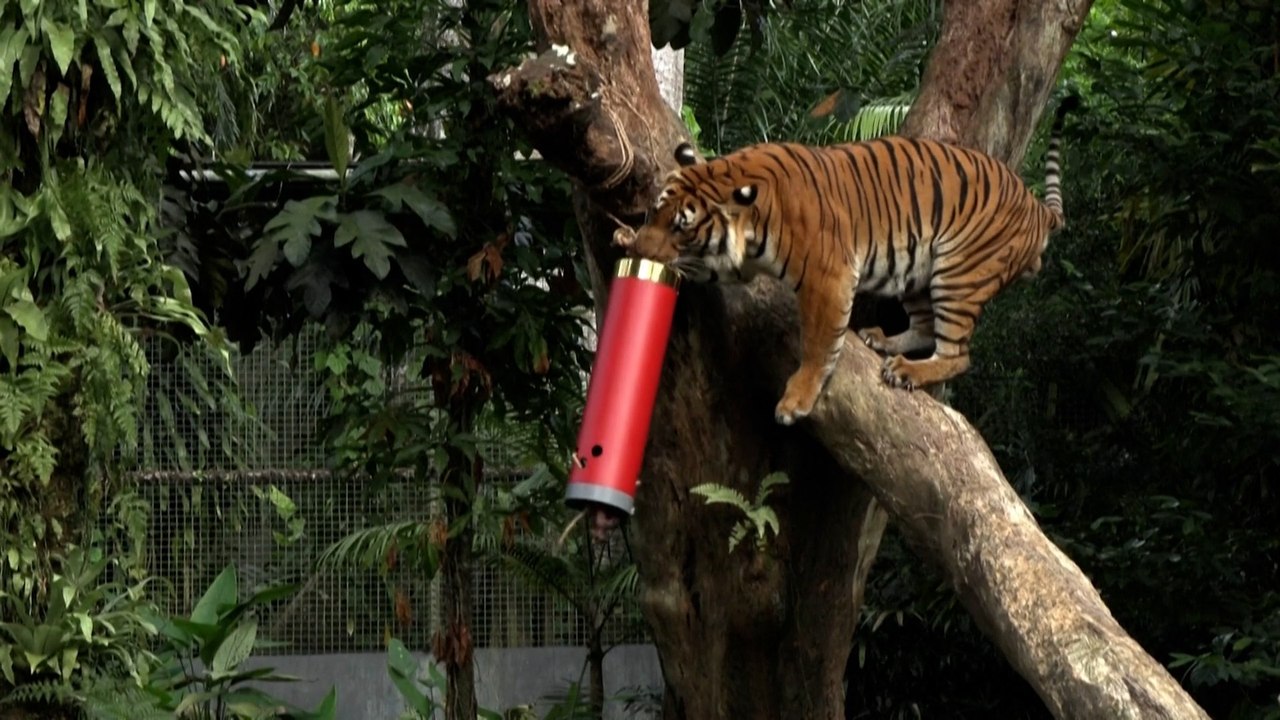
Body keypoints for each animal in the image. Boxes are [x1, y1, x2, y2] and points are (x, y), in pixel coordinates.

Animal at [615, 99, 1074, 426]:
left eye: (682, 227)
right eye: (655, 213)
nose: (643, 252)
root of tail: (1037, 207)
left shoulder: (827, 276)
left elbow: (819, 343)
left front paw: (796, 400)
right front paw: (627, 236)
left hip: (959, 272)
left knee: (958, 354)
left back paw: (908, 371)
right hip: (918, 270)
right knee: (926, 326)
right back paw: (884, 341)